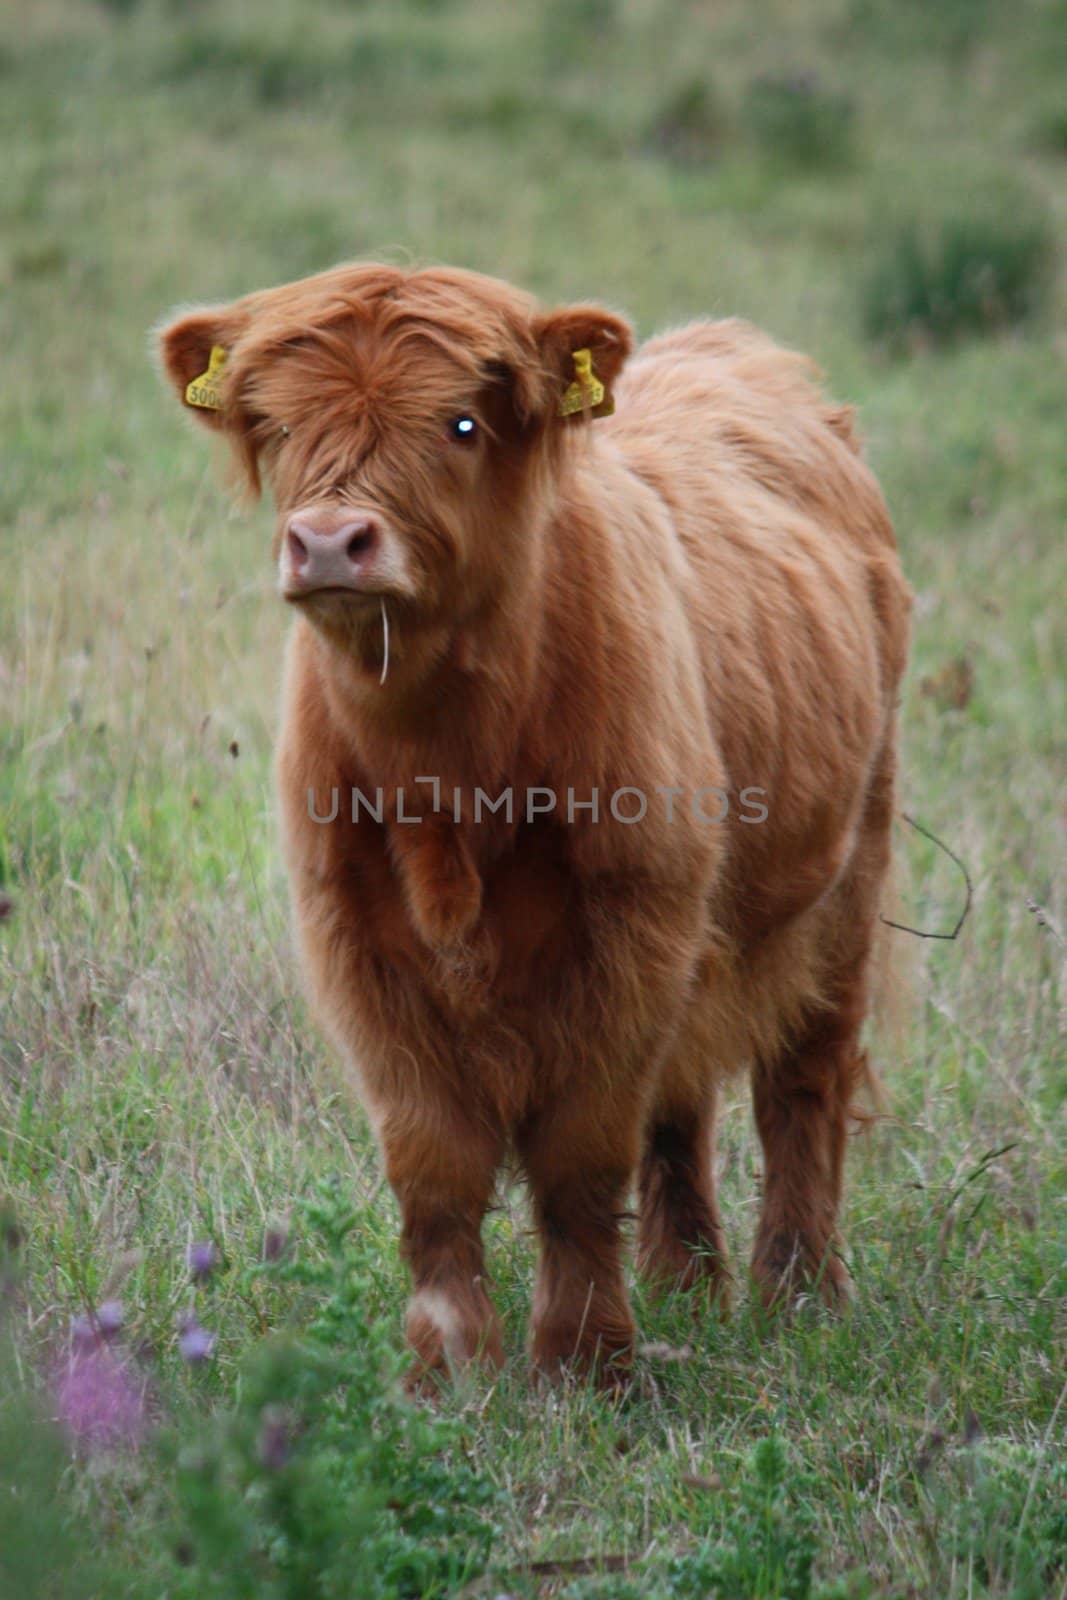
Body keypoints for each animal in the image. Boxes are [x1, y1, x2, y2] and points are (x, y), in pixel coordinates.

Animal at [158, 265, 908, 1388]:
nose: (330, 540)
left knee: (802, 1079)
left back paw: (800, 1292)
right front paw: (445, 1367)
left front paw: (585, 1361)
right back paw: (688, 1284)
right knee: (682, 1103)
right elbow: (433, 1168)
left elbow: (578, 1158)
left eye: (461, 422)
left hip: (844, 869)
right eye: (277, 424)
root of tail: (737, 348)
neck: (447, 767)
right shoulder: (357, 944)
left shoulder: (627, 929)